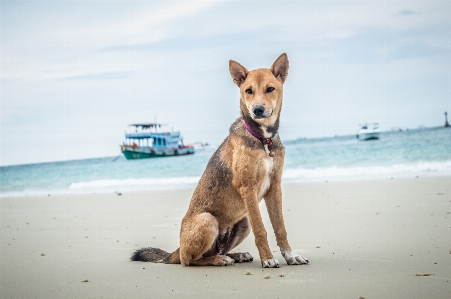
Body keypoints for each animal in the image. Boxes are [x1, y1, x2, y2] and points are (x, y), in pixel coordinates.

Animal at [129, 52, 308, 268]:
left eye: (270, 89)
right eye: (248, 91)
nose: (257, 110)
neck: (262, 138)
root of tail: (177, 250)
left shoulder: (274, 187)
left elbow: (280, 227)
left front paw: (291, 256)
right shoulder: (247, 188)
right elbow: (261, 230)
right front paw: (267, 259)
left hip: (243, 221)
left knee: (216, 250)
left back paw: (236, 255)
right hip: (207, 220)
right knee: (191, 260)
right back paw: (219, 260)